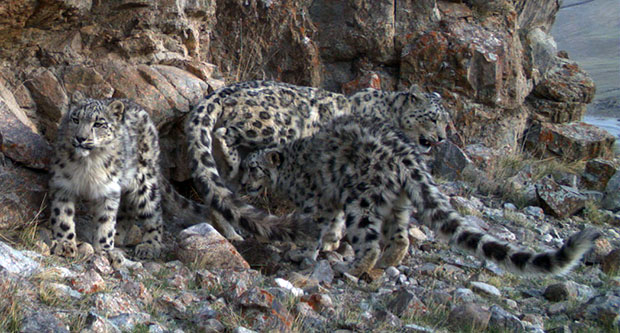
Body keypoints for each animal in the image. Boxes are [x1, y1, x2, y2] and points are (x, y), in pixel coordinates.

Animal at [186, 80, 448, 241]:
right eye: (433, 118)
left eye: (447, 121)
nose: (443, 138)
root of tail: (225, 90)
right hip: (273, 127)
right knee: (225, 133)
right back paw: (232, 161)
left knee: (220, 193)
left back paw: (232, 232)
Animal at [240, 115, 600, 276]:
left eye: (253, 167)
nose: (242, 184)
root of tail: (407, 154)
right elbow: (333, 229)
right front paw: (326, 247)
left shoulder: (319, 203)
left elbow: (322, 227)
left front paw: (307, 252)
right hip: (396, 203)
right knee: (400, 238)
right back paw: (386, 264)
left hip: (362, 202)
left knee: (369, 240)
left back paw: (356, 267)